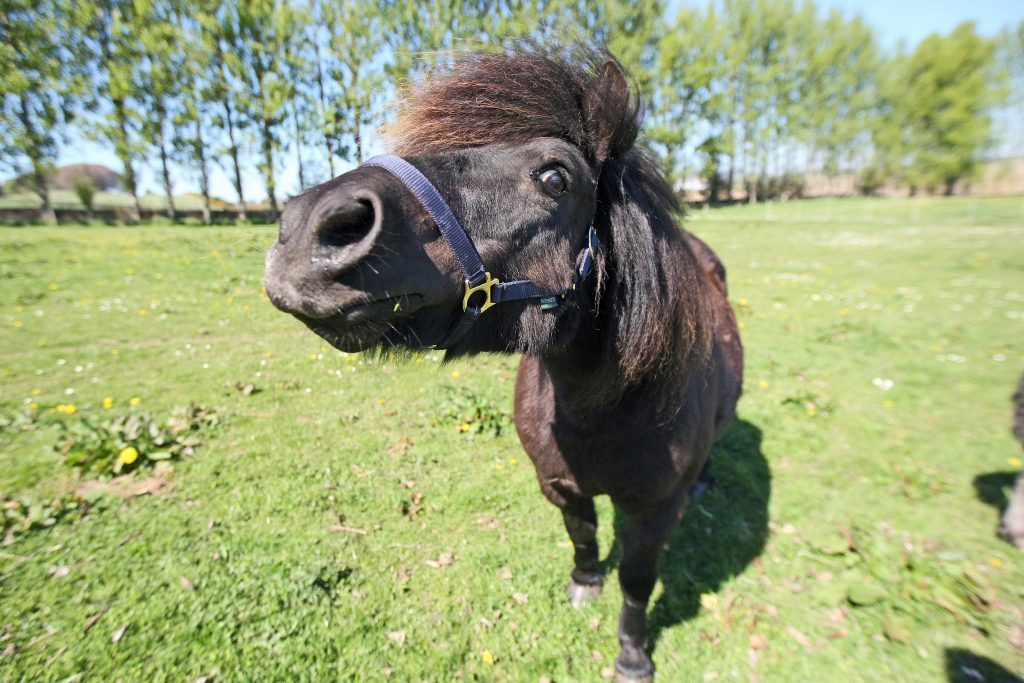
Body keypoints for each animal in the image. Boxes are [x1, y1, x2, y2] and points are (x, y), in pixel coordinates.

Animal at [264, 50, 745, 679]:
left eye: (555, 178)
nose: (309, 228)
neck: (601, 410)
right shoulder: (558, 484)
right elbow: (583, 534)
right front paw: (584, 584)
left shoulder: (654, 511)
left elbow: (638, 581)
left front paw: (633, 655)